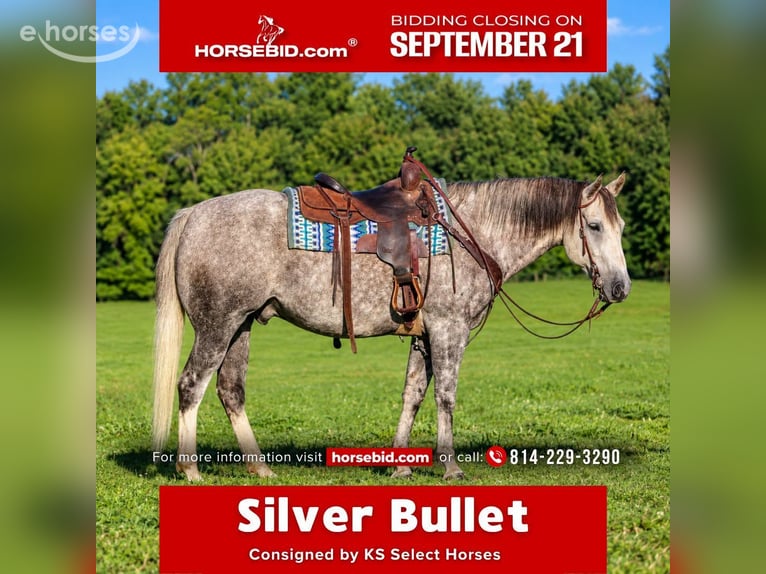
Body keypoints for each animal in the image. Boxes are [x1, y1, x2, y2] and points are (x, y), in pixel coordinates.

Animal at [151, 172, 630, 481]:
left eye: (621, 226)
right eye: (593, 225)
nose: (621, 287)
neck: (470, 235)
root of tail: (194, 213)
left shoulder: (423, 336)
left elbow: (412, 394)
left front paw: (399, 464)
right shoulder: (449, 332)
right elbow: (445, 395)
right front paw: (450, 465)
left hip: (242, 325)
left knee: (230, 389)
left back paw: (260, 467)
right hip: (217, 325)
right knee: (191, 385)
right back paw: (190, 469)